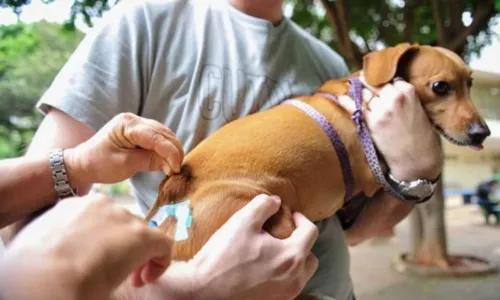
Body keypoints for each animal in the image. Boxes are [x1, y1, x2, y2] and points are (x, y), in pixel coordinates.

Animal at [144, 43, 488, 298]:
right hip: (275, 218)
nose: (482, 133)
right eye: (440, 86)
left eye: (471, 84)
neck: (359, 98)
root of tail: (177, 186)